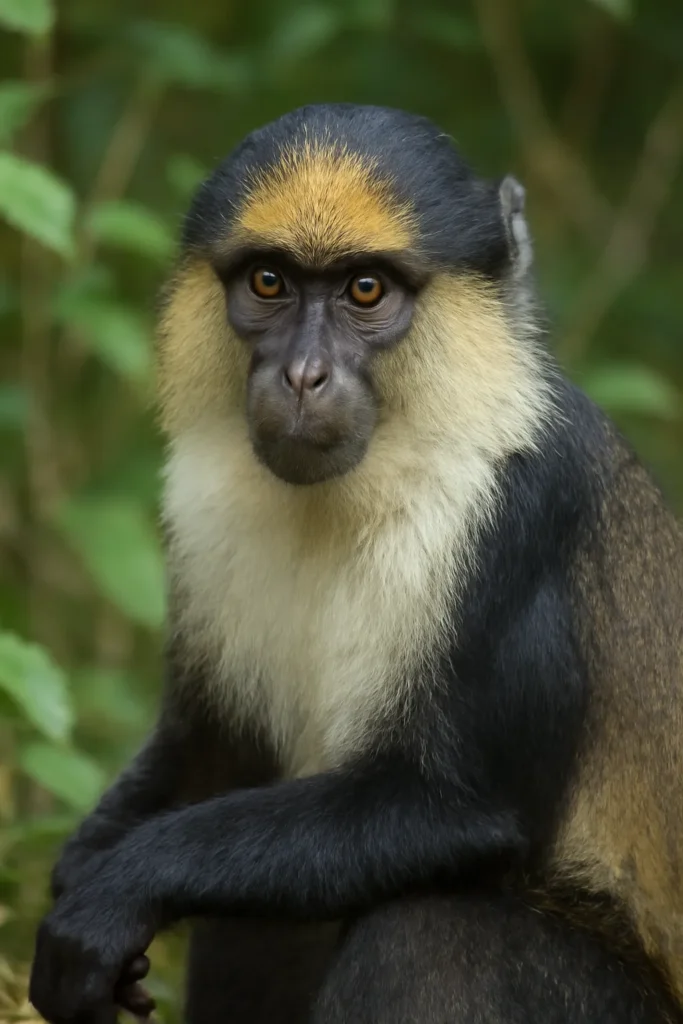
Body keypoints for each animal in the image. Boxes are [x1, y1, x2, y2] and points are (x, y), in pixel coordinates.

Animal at [28, 103, 683, 1024]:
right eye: (269, 283)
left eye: (364, 290)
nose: (303, 376)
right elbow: (213, 755)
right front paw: (82, 871)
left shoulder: (511, 520)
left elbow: (454, 807)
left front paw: (111, 898)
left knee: (430, 936)